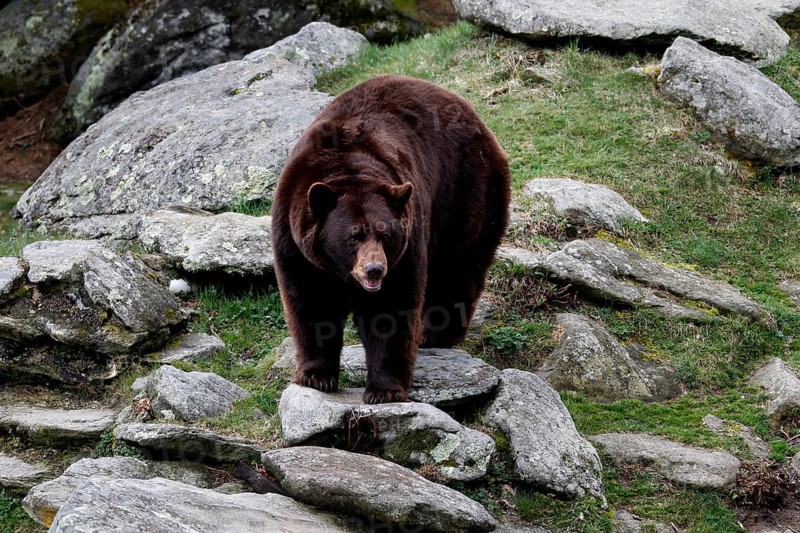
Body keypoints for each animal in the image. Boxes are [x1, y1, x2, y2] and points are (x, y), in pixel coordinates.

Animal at [272, 75, 510, 404]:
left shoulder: (405, 248)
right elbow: (313, 304)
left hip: (464, 191)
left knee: (456, 267)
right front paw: (316, 375)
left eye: (385, 235)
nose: (374, 270)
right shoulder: (298, 249)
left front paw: (384, 390)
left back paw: (436, 333)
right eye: (353, 236)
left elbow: (390, 311)